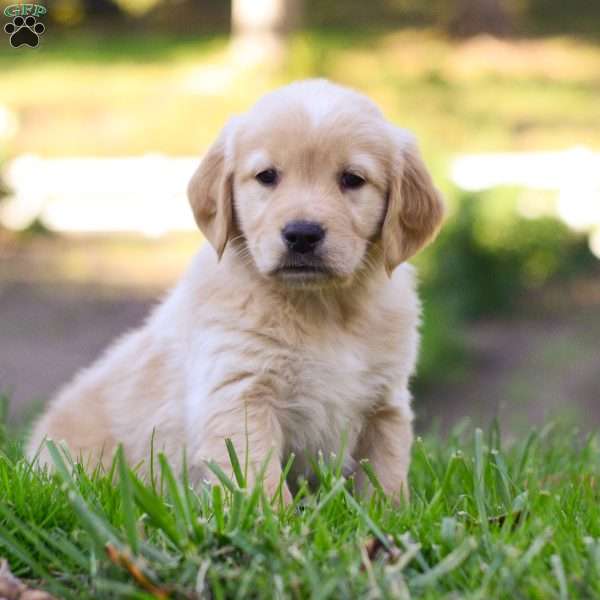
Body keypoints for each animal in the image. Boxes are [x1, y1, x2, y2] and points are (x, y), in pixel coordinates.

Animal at [27, 79, 440, 502]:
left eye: (352, 179)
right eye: (267, 176)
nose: (302, 234)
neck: (321, 305)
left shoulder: (386, 403)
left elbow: (386, 473)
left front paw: (390, 510)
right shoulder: (239, 393)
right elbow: (261, 478)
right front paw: (278, 516)